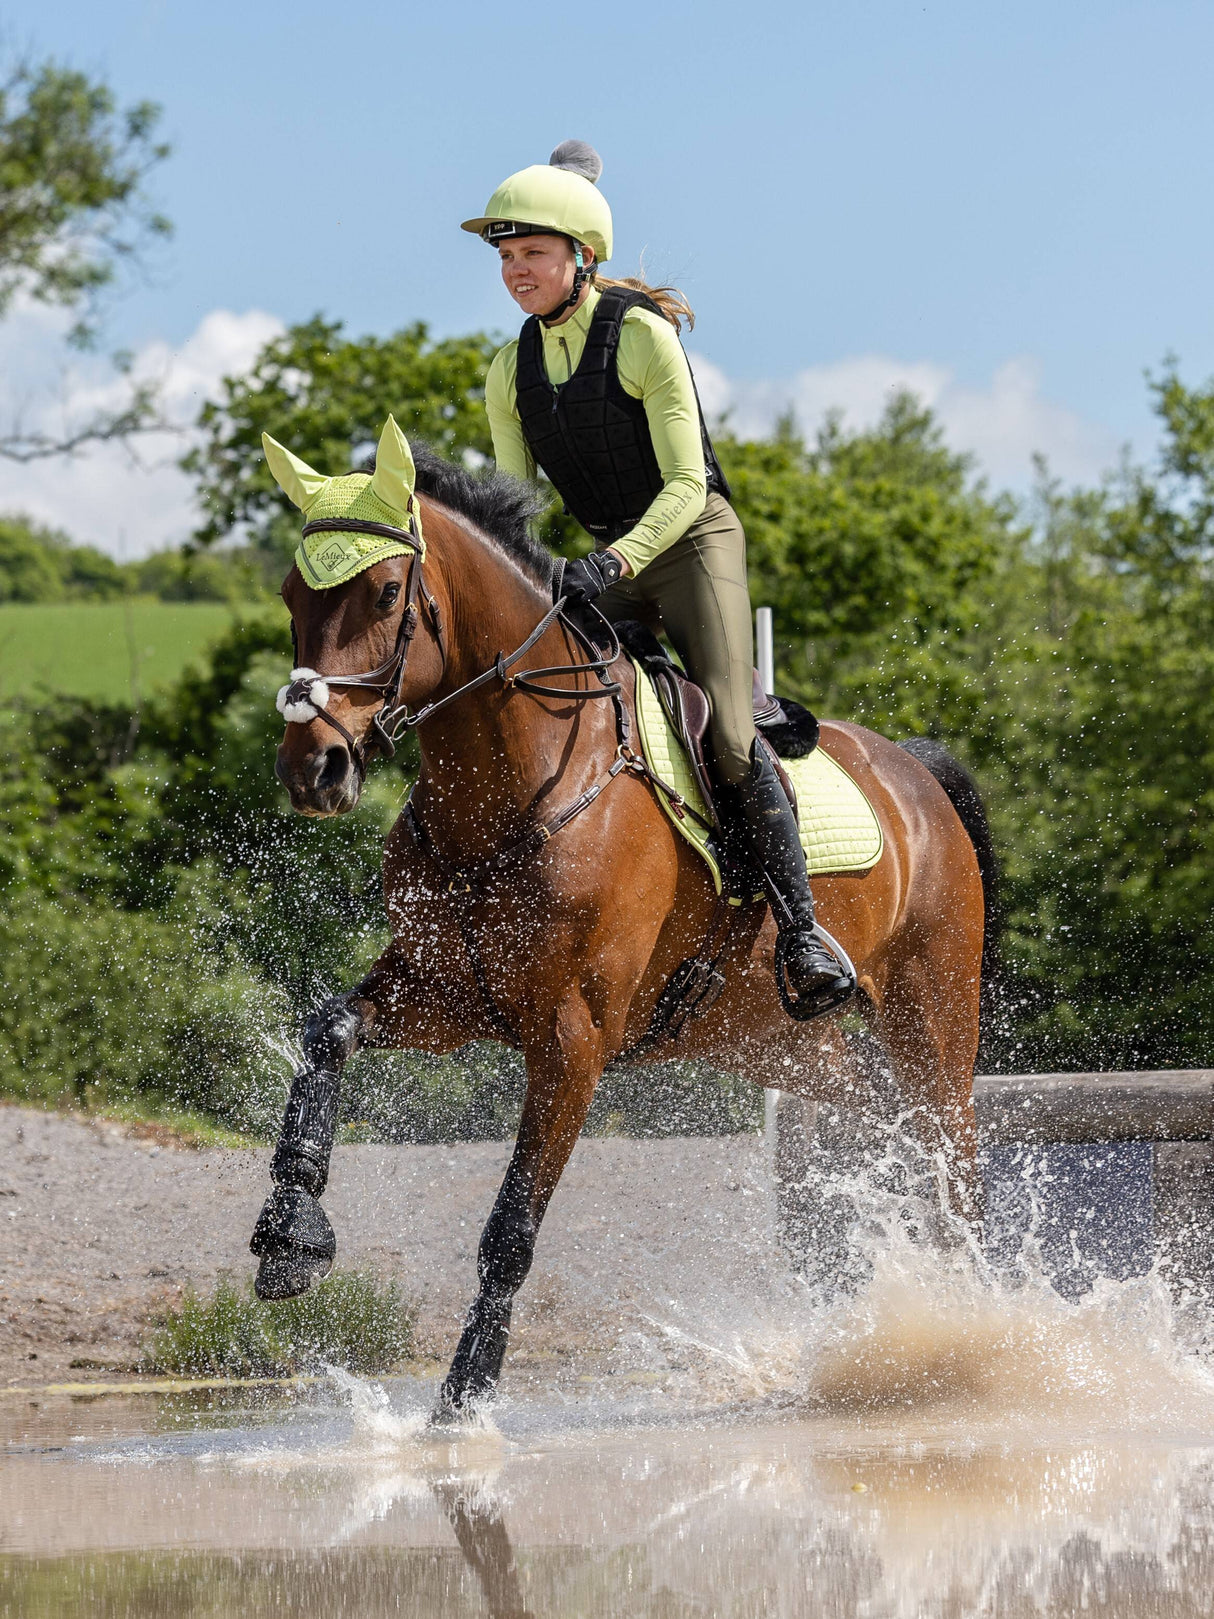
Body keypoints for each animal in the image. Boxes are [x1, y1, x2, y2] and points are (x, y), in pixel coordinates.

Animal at [252, 427, 990, 1418]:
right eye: (292, 597)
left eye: (385, 595)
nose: (314, 768)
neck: (516, 784)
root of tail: (913, 769)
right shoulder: (447, 993)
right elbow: (326, 1028)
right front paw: (290, 1236)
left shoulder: (572, 1038)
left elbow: (511, 1227)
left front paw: (465, 1398)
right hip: (775, 1039)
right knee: (889, 1125)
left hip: (932, 1010)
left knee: (953, 1157)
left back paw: (982, 1328)